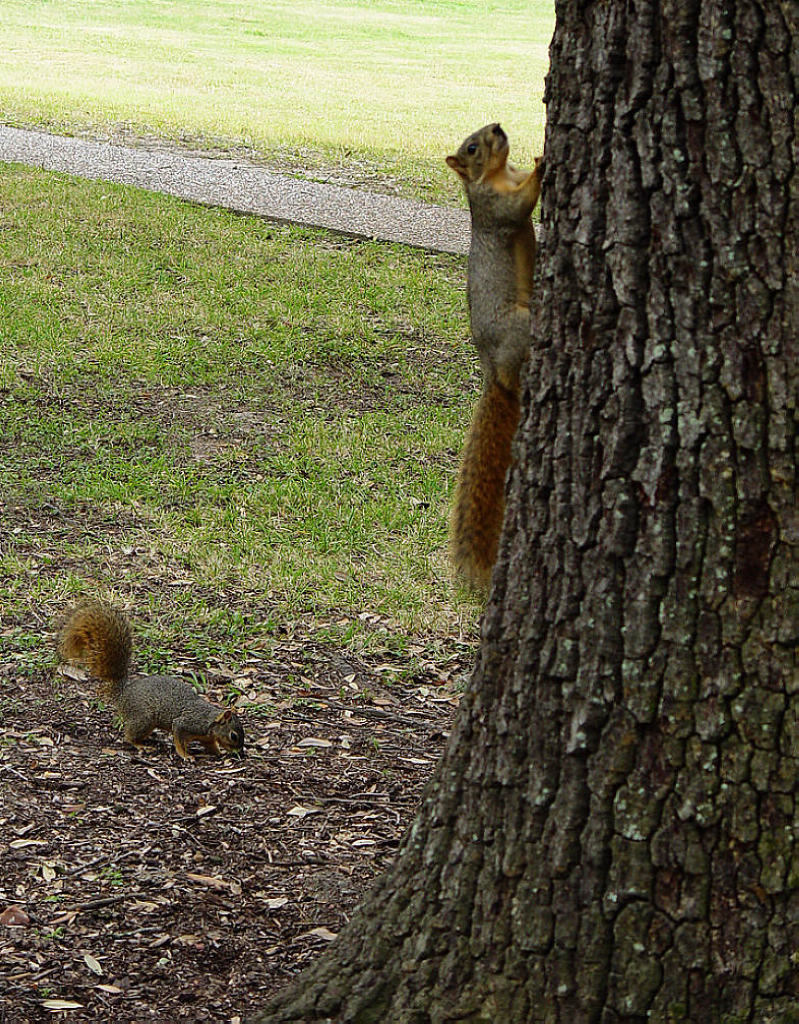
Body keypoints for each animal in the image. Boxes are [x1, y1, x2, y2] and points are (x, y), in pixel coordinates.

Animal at [58, 598, 244, 761]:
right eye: (233, 736)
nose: (241, 753)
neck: (210, 722)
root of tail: (123, 693)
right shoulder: (186, 724)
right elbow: (179, 740)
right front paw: (186, 755)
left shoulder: (207, 738)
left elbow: (211, 746)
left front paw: (219, 753)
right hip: (144, 719)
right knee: (129, 736)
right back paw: (141, 745)